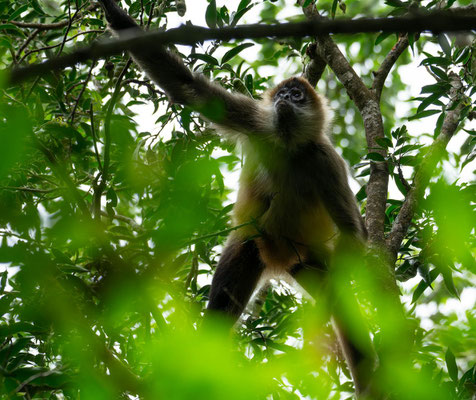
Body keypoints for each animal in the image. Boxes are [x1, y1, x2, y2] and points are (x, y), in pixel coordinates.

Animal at [99, 1, 376, 396]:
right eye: (282, 96)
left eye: (297, 96)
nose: (284, 100)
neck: (288, 146)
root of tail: (280, 260)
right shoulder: (260, 123)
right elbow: (186, 88)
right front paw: (112, 12)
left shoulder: (325, 160)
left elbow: (354, 232)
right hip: (257, 244)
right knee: (228, 289)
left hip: (309, 260)